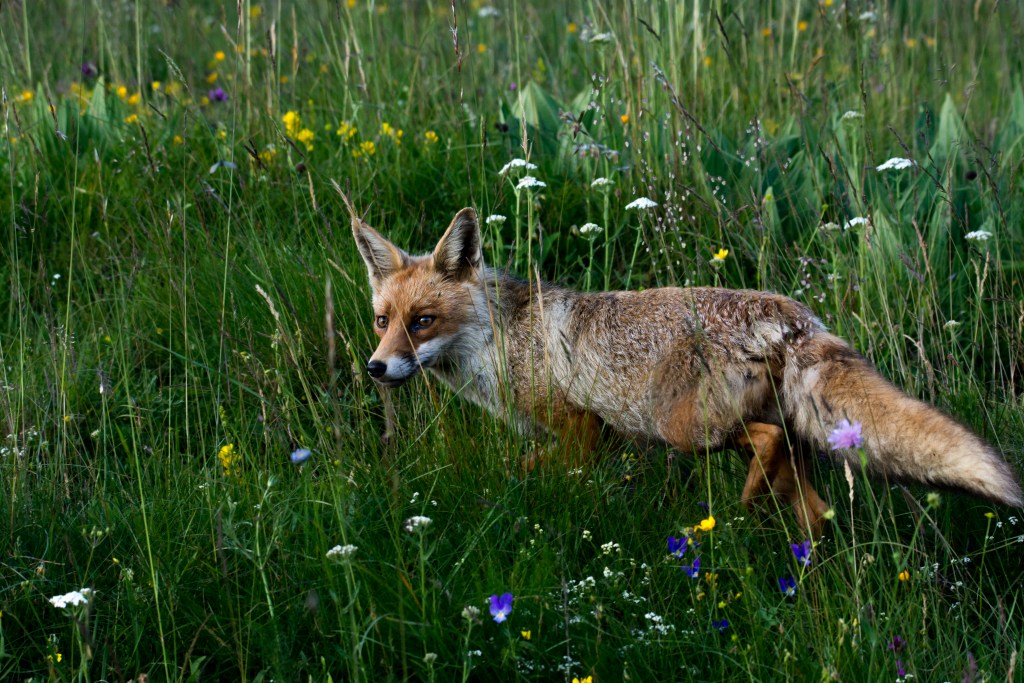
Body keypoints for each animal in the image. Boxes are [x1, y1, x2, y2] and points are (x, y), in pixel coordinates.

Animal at [345, 196, 1023, 532]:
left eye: (422, 322)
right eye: (382, 321)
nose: (377, 368)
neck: (502, 340)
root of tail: (788, 312)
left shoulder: (583, 429)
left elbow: (534, 470)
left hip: (685, 429)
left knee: (765, 442)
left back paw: (748, 504)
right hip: (780, 443)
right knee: (813, 506)